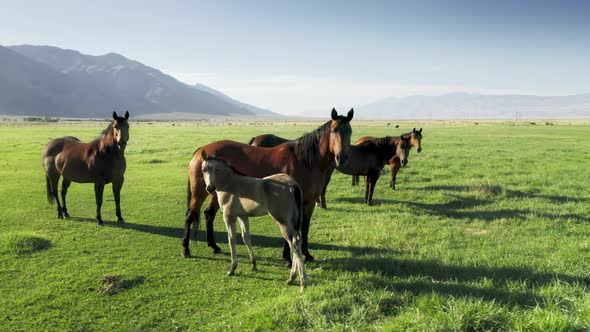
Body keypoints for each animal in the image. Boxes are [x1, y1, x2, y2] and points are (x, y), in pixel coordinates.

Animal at [185, 107, 354, 264]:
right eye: (334, 130)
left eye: (350, 132)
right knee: (190, 215)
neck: (305, 161)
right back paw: (186, 249)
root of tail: (201, 151)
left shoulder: (309, 202)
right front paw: (288, 258)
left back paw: (214, 246)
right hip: (199, 193)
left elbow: (305, 227)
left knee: (208, 214)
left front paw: (306, 254)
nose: (342, 158)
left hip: (214, 192)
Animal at [201, 152, 308, 290]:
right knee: (297, 242)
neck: (230, 184)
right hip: (292, 222)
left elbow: (231, 239)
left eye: (216, 169)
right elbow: (246, 237)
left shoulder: (229, 217)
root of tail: (292, 184)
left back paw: (300, 282)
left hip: (283, 222)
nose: (209, 188)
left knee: (294, 243)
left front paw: (232, 269)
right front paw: (254, 265)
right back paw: (292, 278)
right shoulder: (243, 216)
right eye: (204, 170)